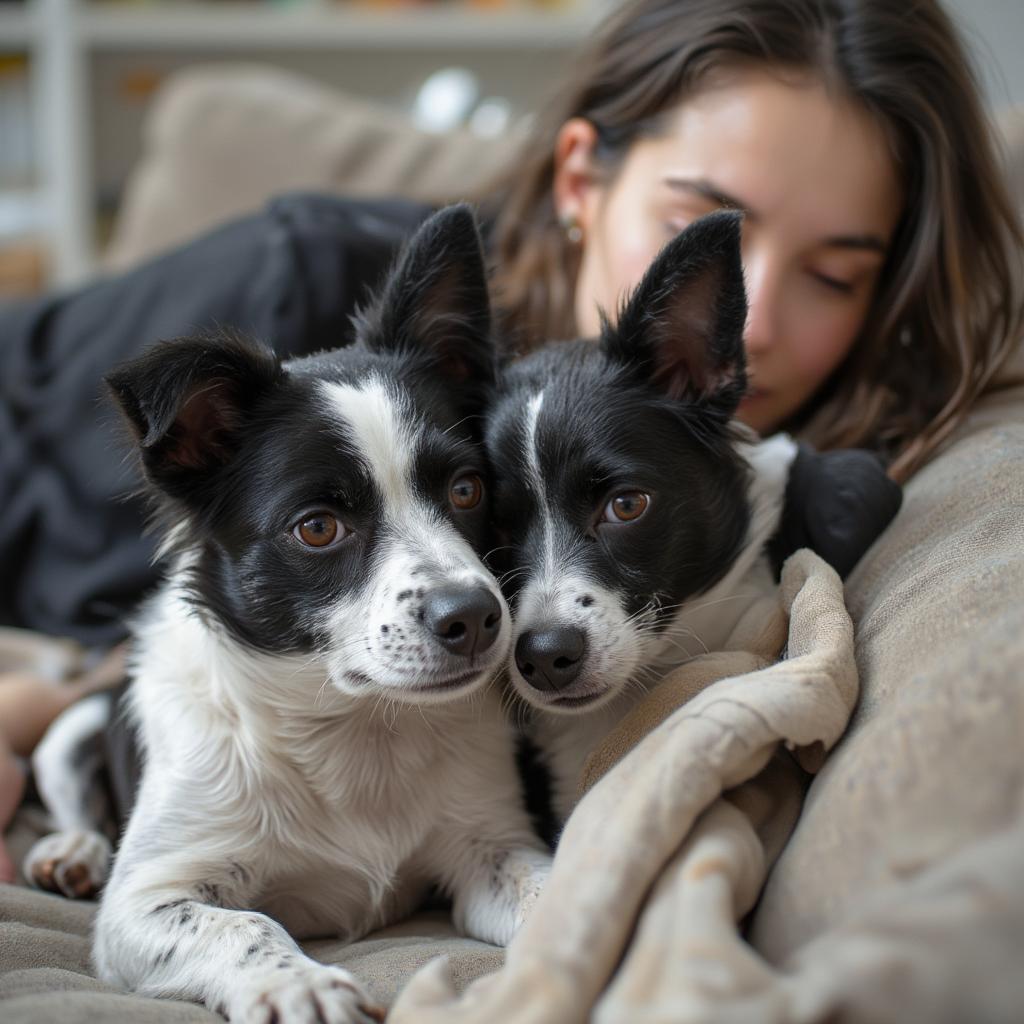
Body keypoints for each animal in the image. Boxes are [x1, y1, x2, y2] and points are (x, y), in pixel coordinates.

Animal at [37, 205, 552, 1024]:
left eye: (468, 489)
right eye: (317, 528)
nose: (475, 616)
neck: (357, 727)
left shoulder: (489, 847)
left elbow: (552, 883)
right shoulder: (141, 905)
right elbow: (243, 924)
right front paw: (297, 982)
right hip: (72, 728)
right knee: (72, 801)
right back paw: (73, 852)